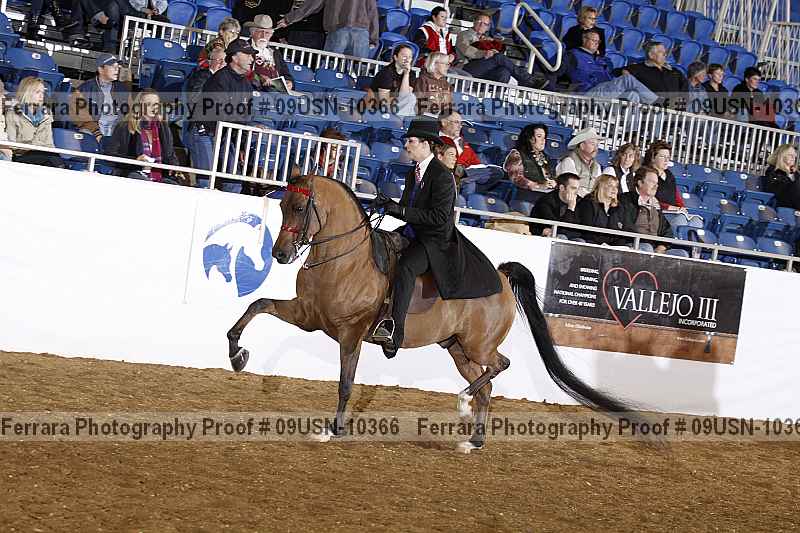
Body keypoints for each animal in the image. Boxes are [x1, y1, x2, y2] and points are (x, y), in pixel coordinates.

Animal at [226, 175, 635, 452]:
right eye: (282, 206)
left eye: (299, 207)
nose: (280, 254)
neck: (343, 261)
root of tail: (501, 276)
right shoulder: (308, 316)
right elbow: (257, 305)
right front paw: (237, 355)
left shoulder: (350, 333)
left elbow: (345, 383)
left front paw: (332, 430)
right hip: (457, 350)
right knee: (487, 385)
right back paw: (474, 439)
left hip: (477, 346)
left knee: (499, 366)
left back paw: (464, 402)